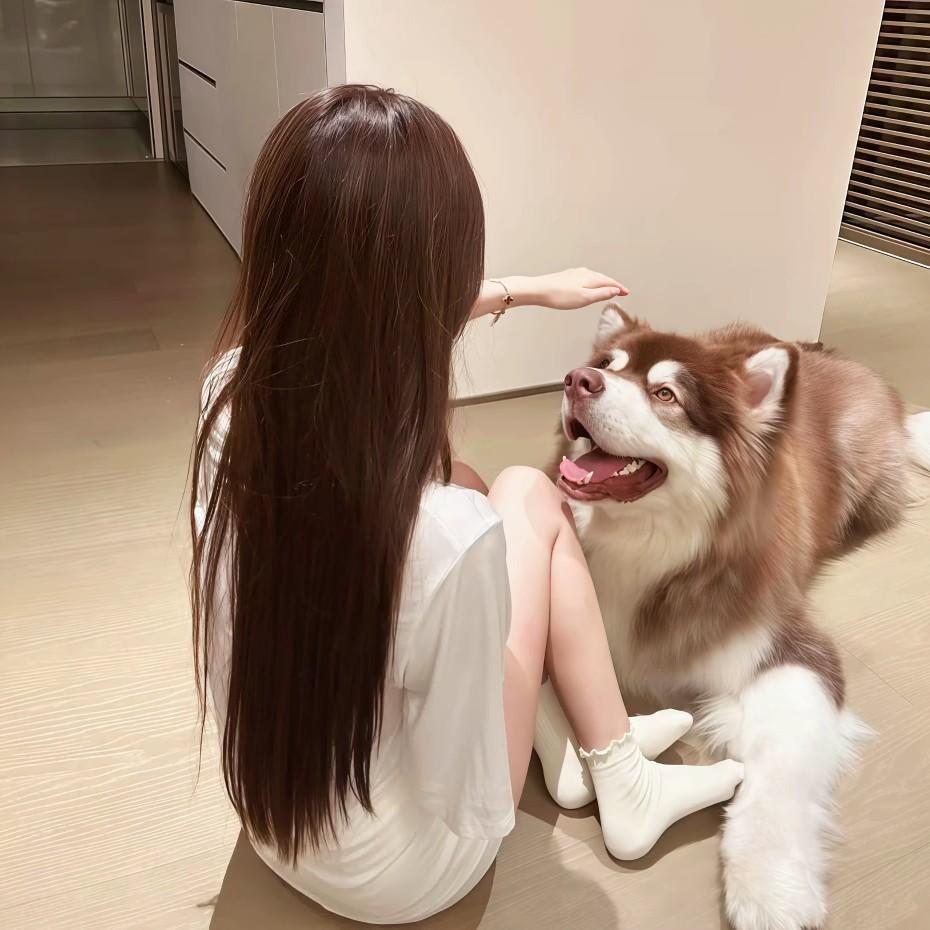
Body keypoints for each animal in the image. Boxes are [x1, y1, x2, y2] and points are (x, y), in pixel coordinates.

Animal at [551, 304, 930, 930]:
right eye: (608, 363)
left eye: (665, 393)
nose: (578, 379)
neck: (647, 552)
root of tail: (833, 356)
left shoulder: (788, 647)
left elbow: (780, 766)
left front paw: (771, 885)